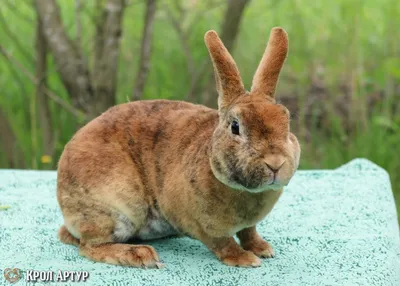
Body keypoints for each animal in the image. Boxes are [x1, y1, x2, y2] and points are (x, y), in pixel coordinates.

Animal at [56, 27, 300, 268]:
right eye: (235, 127)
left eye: (286, 121)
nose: (275, 163)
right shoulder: (200, 224)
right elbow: (223, 242)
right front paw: (245, 259)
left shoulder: (248, 225)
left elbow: (249, 232)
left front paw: (263, 249)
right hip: (117, 207)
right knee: (90, 247)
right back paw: (140, 255)